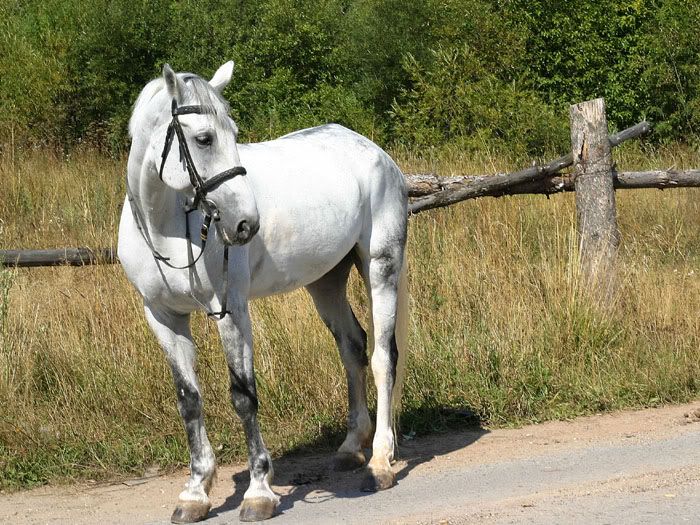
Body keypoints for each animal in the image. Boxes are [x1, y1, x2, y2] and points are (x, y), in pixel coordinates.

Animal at [117, 61, 408, 523]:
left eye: (234, 133)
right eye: (204, 138)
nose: (245, 225)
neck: (168, 228)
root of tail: (373, 150)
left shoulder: (231, 310)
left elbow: (243, 396)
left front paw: (259, 492)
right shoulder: (162, 315)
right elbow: (188, 399)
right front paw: (195, 493)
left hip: (381, 266)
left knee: (383, 356)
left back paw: (380, 462)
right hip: (325, 281)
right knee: (352, 347)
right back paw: (350, 448)